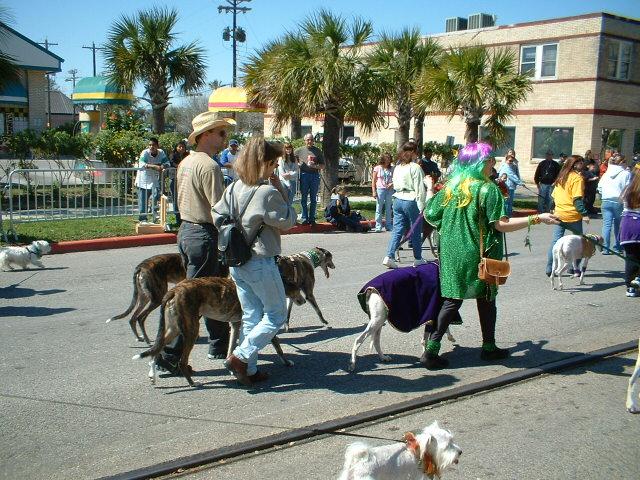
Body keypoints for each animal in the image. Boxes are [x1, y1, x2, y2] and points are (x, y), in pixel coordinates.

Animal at [133, 276, 293, 388]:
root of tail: (174, 291)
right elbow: (278, 347)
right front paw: (287, 362)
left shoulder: (235, 326)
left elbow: (230, 349)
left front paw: (232, 366)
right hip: (191, 330)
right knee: (182, 362)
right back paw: (192, 383)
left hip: (174, 329)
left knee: (157, 348)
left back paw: (152, 375)